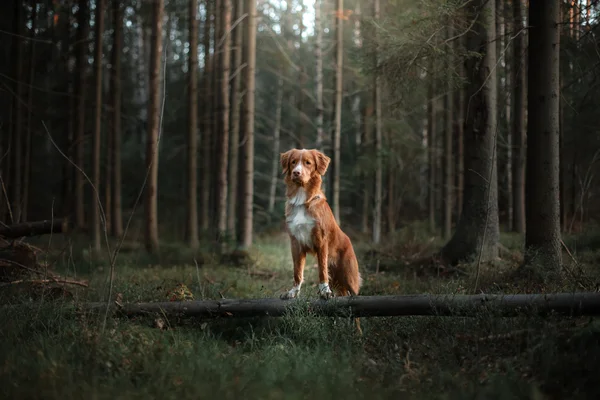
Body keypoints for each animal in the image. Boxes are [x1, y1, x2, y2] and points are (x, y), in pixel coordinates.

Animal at [280, 148, 364, 302]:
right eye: (293, 162)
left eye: (308, 163)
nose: (296, 173)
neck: (302, 200)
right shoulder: (295, 242)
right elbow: (297, 271)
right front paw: (293, 292)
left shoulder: (321, 241)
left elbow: (322, 270)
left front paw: (325, 291)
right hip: (338, 279)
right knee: (344, 293)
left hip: (349, 276)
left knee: (353, 294)